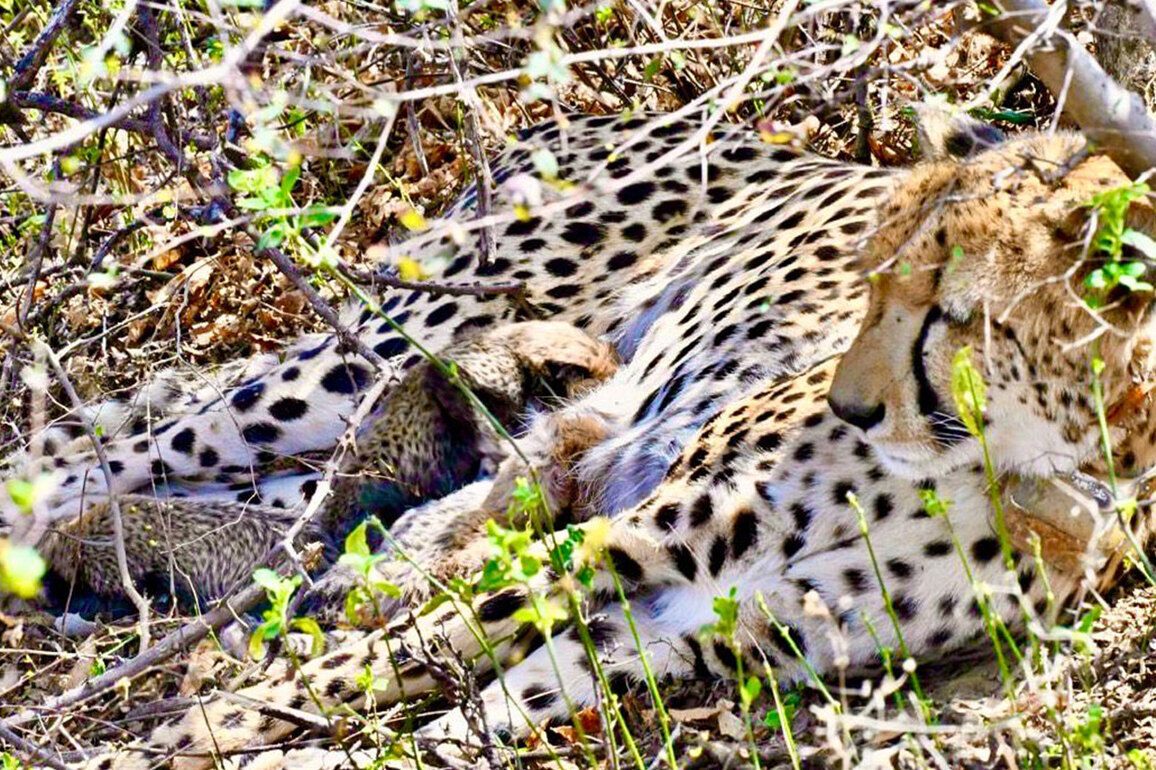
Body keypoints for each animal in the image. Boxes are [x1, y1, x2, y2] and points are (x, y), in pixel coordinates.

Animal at [7, 108, 1155, 769]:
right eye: (869, 282)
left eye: (947, 309)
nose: (851, 407)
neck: (1023, 461)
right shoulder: (640, 532)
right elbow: (391, 656)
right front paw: (199, 731)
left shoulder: (710, 620)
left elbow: (472, 702)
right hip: (387, 341)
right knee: (100, 450)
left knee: (285, 512)